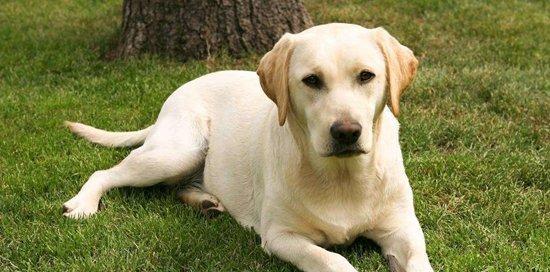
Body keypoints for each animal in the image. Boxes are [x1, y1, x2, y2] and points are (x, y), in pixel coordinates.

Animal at [62, 23, 434, 272]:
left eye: (366, 76)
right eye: (312, 80)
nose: (346, 132)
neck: (343, 176)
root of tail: (179, 91)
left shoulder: (403, 229)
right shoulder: (282, 236)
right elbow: (333, 261)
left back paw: (206, 202)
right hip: (178, 151)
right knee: (106, 172)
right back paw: (83, 204)